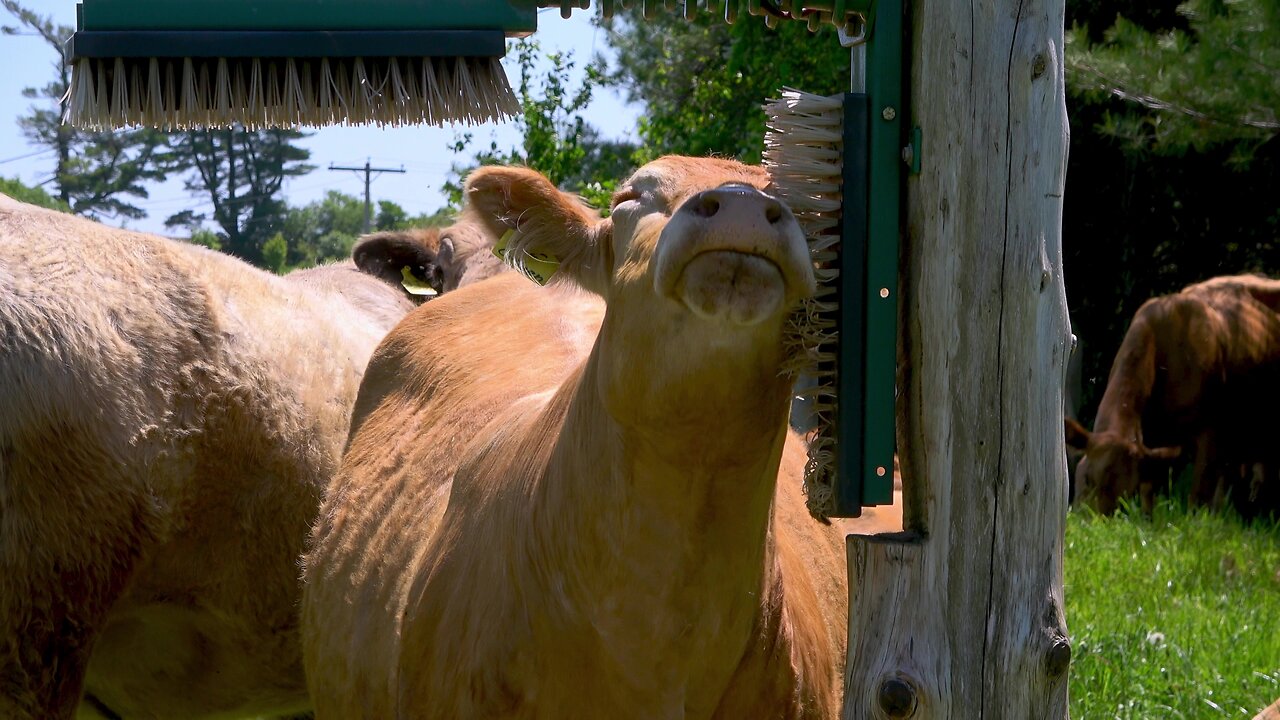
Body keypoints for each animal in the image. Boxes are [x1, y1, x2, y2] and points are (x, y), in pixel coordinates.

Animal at [1064, 271, 1280, 512]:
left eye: (1125, 495)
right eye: (1087, 478)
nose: (1092, 519)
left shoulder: (1210, 432)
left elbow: (1198, 497)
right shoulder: (1152, 444)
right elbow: (1149, 496)